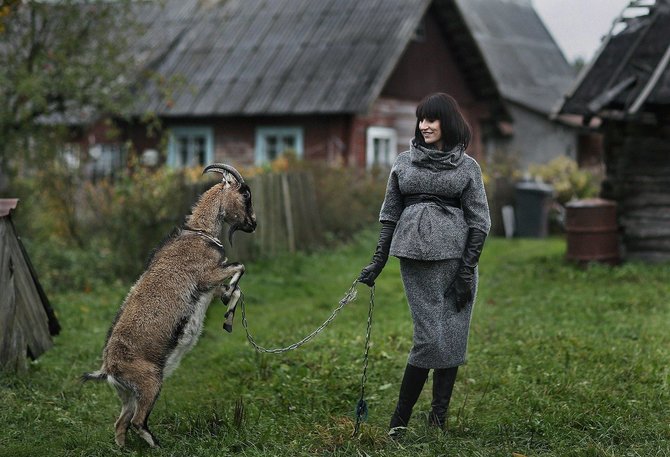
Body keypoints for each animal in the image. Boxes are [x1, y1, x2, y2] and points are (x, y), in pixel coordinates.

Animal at [79, 163, 258, 446]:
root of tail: (108, 370)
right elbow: (239, 267)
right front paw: (229, 302)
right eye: (246, 194)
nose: (253, 224)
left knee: (121, 423)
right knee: (138, 422)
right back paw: (159, 446)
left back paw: (124, 448)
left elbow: (236, 290)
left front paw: (228, 318)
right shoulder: (206, 276)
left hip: (127, 395)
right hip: (150, 383)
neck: (200, 234)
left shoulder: (209, 287)